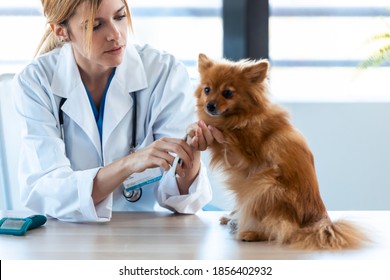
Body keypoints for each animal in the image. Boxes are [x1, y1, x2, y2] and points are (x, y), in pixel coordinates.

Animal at [193, 53, 368, 250]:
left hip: (264, 186)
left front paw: (207, 129)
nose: (210, 105)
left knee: (282, 228)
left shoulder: (244, 158)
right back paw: (233, 220)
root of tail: (320, 219)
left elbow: (225, 134)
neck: (243, 116)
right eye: (207, 90)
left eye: (228, 93)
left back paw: (251, 232)